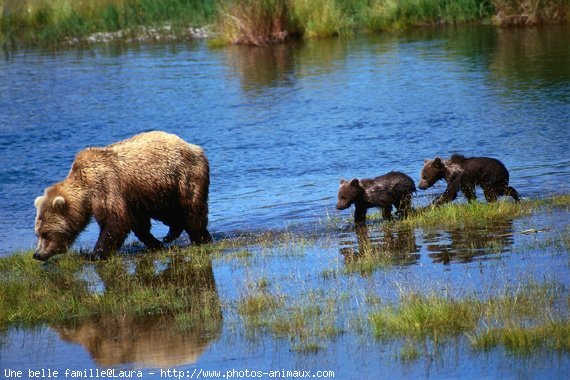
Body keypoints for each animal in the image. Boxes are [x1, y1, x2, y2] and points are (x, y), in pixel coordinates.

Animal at [33, 131, 211, 262]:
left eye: (45, 234)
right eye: (38, 233)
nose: (37, 255)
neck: (86, 189)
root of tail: (194, 147)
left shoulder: (107, 187)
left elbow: (115, 221)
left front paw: (95, 254)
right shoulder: (133, 198)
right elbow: (138, 224)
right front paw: (155, 243)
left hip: (183, 176)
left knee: (192, 209)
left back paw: (201, 238)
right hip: (159, 189)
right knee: (169, 212)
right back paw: (171, 234)